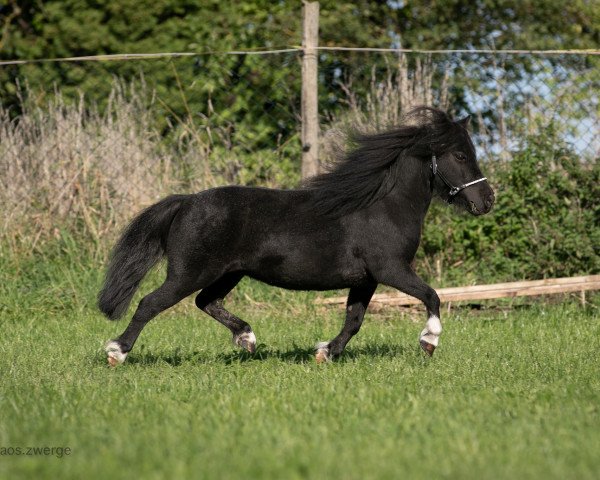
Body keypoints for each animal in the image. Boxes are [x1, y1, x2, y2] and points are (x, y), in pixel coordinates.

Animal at [98, 107, 494, 366]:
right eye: (461, 155)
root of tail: (187, 202)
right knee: (150, 303)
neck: (383, 206)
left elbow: (354, 320)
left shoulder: (365, 279)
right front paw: (429, 342)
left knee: (206, 302)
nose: (487, 200)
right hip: (189, 272)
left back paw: (247, 339)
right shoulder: (391, 269)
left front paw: (325, 353)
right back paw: (117, 352)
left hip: (229, 273)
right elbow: (432, 295)